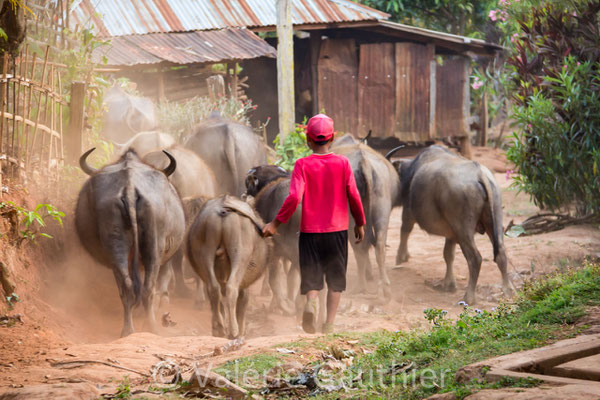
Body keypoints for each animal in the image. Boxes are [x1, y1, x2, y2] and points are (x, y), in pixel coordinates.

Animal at [76, 148, 186, 336]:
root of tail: (129, 187)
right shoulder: (166, 258)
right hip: (155, 244)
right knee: (148, 288)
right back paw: (151, 327)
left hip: (116, 245)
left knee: (128, 286)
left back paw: (128, 330)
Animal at [390, 145, 516, 304]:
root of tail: (480, 174)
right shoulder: (451, 234)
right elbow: (448, 254)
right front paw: (448, 284)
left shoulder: (408, 211)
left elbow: (405, 230)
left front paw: (400, 257)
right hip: (494, 221)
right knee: (501, 253)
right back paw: (508, 290)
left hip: (463, 229)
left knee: (475, 259)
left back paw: (469, 297)